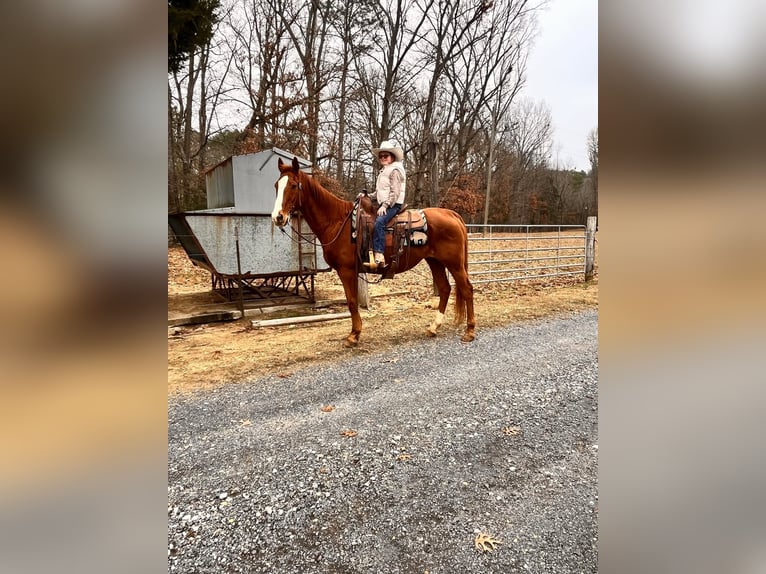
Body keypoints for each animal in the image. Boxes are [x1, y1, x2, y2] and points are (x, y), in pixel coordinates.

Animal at [270, 155, 474, 348]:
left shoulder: (346, 271)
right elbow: (352, 301)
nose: (278, 217)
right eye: (276, 185)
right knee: (445, 289)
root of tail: (451, 214)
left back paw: (470, 331)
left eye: (293, 185)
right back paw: (433, 327)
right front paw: (355, 333)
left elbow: (352, 301)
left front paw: (353, 336)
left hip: (454, 264)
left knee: (466, 288)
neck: (338, 222)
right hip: (435, 261)